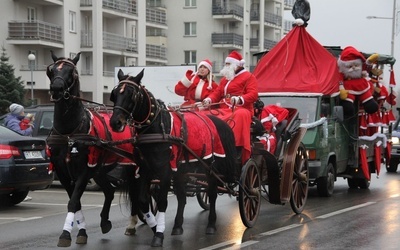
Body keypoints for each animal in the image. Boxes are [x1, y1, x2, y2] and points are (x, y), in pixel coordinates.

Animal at [45, 51, 141, 247]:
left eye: (72, 72)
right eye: (52, 70)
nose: (57, 88)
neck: (69, 133)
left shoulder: (84, 170)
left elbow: (73, 202)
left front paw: (65, 234)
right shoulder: (63, 171)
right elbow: (76, 202)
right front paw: (81, 231)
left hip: (130, 167)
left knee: (136, 193)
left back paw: (135, 222)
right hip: (100, 170)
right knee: (110, 192)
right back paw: (105, 221)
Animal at [109, 68, 238, 246]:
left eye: (132, 94)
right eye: (114, 94)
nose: (115, 123)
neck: (156, 127)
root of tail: (212, 118)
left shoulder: (165, 170)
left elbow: (163, 201)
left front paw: (158, 234)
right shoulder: (145, 169)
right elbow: (143, 200)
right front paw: (154, 226)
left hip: (210, 167)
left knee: (211, 193)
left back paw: (211, 224)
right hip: (182, 169)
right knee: (182, 197)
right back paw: (177, 226)